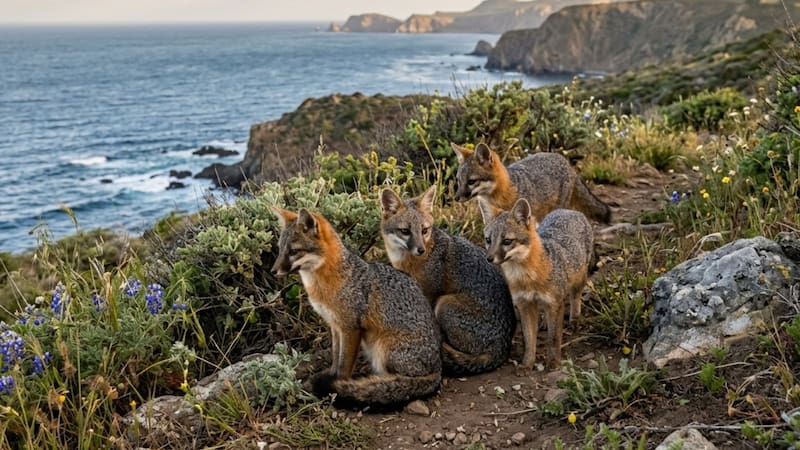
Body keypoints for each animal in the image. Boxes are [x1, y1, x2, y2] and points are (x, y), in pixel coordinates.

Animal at [270, 206, 442, 406]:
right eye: (280, 249)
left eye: (294, 251)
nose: (273, 271)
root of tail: (438, 368)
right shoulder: (335, 326)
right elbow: (336, 358)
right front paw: (332, 376)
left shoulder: (351, 328)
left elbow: (344, 365)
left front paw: (338, 385)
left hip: (382, 349)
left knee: (402, 380)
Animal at [380, 185, 516, 376]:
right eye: (405, 231)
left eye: (424, 230)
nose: (420, 250)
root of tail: (504, 346)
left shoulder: (430, 293)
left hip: (444, 303)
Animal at [482, 199, 594, 369]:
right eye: (488, 240)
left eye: (507, 241)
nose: (489, 258)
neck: (528, 278)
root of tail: (568, 210)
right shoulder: (524, 304)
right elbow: (529, 340)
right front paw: (527, 364)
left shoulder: (555, 303)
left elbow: (553, 339)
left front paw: (553, 363)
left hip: (578, 280)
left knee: (575, 298)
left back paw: (574, 319)